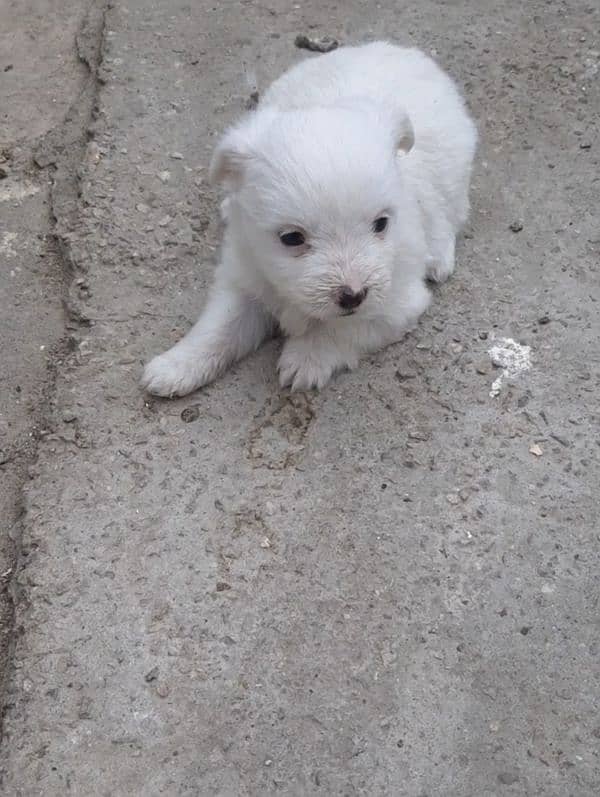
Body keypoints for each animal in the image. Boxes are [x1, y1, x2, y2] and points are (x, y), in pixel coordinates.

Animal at [143, 40, 476, 394]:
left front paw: (306, 358)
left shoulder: (396, 305)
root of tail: (402, 50)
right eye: (292, 238)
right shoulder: (243, 280)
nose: (353, 294)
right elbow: (218, 328)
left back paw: (438, 258)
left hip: (453, 174)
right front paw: (176, 366)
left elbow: (342, 329)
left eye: (381, 224)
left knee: (451, 214)